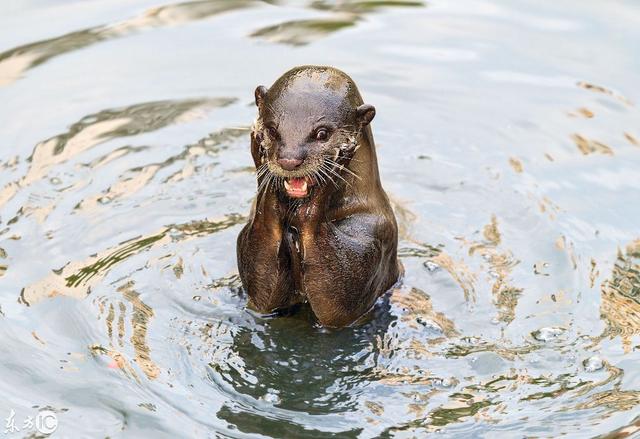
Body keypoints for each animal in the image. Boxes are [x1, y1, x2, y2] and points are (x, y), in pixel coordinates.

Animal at [238, 64, 398, 326]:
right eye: (271, 129)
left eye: (322, 133)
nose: (289, 160)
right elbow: (263, 298)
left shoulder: (377, 232)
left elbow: (339, 304)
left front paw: (336, 167)